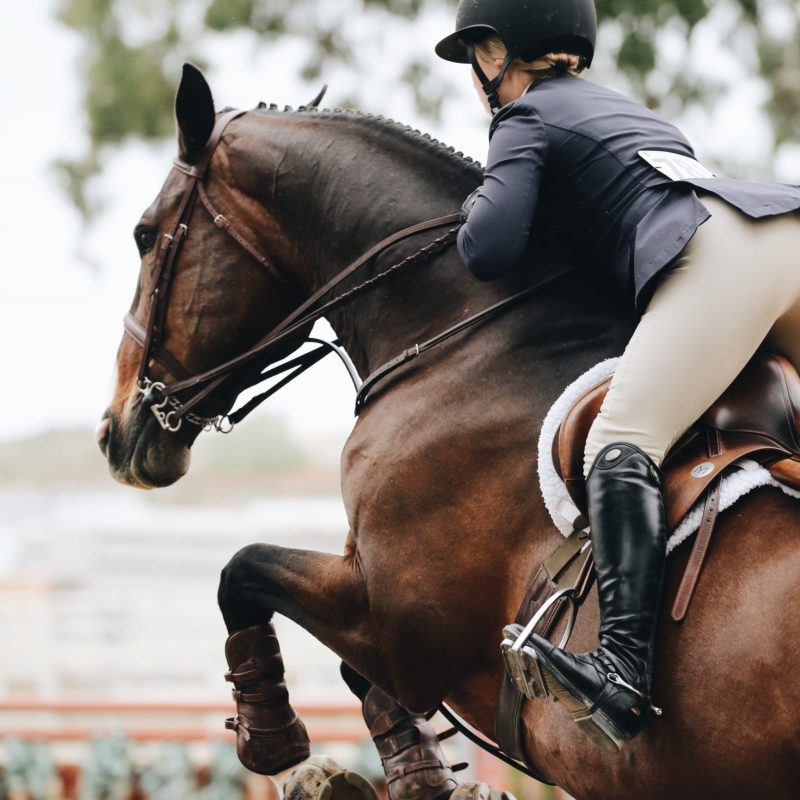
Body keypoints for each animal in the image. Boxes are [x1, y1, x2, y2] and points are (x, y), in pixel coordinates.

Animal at [97, 64, 800, 799]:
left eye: (144, 235)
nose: (115, 432)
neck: (466, 335)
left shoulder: (395, 623)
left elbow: (242, 571)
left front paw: (280, 747)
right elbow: (343, 662)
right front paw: (415, 774)